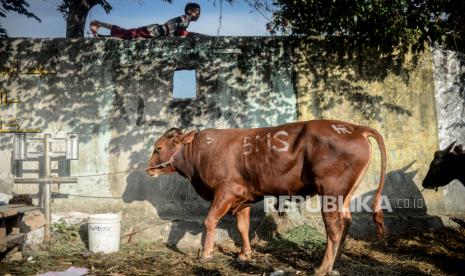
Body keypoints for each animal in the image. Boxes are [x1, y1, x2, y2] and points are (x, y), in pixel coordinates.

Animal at [147, 119, 386, 274]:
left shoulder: (225, 191)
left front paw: (206, 254)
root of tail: (354, 127)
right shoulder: (242, 197)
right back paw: (336, 261)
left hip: (330, 192)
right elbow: (242, 227)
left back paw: (322, 267)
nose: (149, 170)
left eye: (158, 147)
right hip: (345, 194)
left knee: (334, 227)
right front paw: (244, 255)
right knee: (346, 222)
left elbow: (209, 220)